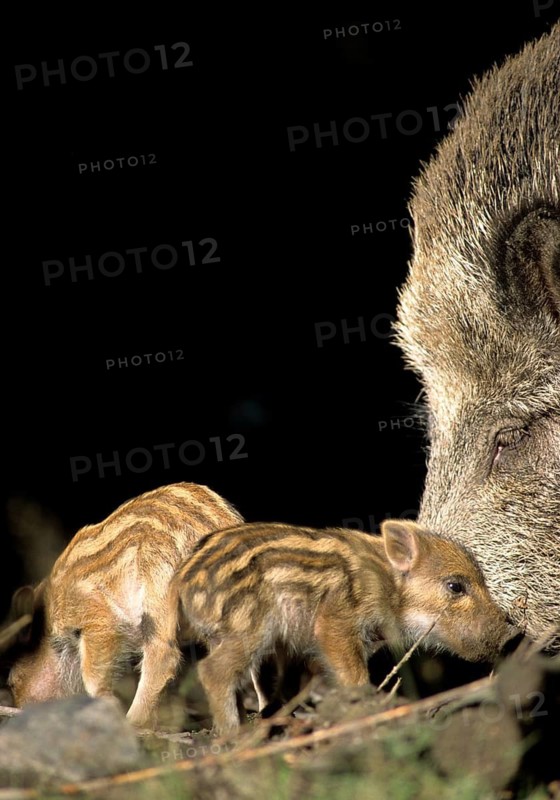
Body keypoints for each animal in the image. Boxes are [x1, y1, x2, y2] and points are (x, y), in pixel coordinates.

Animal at [4, 482, 244, 728]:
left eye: (12, 681)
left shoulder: (96, 616)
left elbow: (92, 674)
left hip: (159, 592)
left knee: (163, 654)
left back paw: (133, 722)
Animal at [170, 519, 516, 735]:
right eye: (455, 586)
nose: (510, 637)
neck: (389, 586)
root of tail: (183, 582)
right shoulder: (335, 622)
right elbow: (353, 673)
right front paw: (365, 708)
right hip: (249, 629)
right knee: (212, 671)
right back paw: (235, 735)